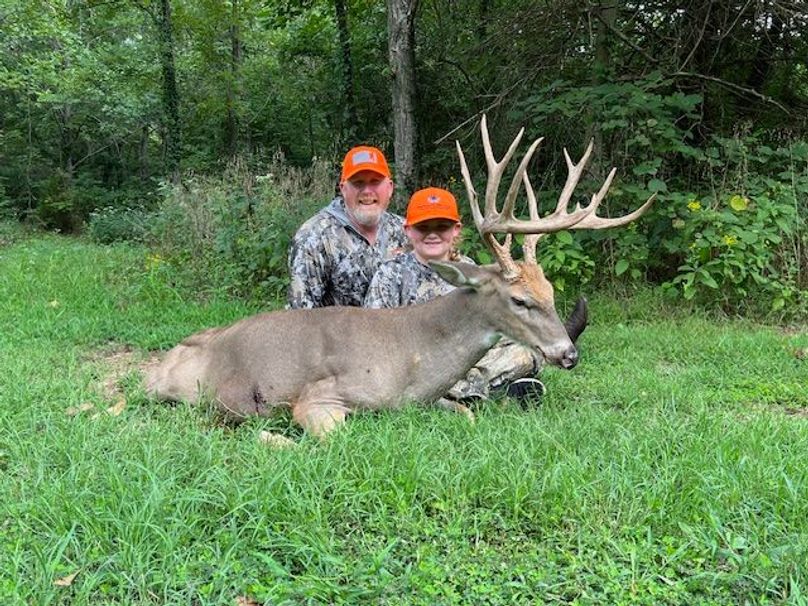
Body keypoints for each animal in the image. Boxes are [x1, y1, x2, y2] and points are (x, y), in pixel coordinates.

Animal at [145, 115, 655, 438]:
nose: (569, 354)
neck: (410, 357)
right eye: (519, 300)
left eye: (548, 291)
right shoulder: (320, 396)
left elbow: (468, 415)